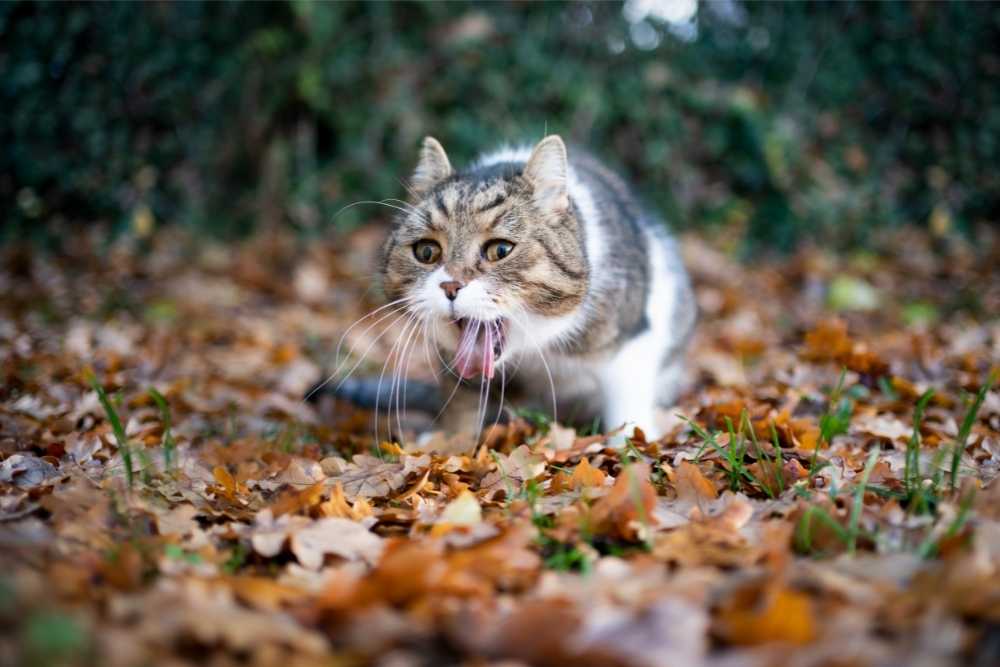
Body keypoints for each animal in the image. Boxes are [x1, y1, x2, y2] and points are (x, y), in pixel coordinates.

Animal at [370, 134, 696, 438]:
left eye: (500, 250)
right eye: (426, 251)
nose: (450, 286)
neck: (534, 347)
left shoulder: (631, 337)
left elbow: (627, 403)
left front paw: (633, 442)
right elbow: (461, 401)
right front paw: (451, 441)